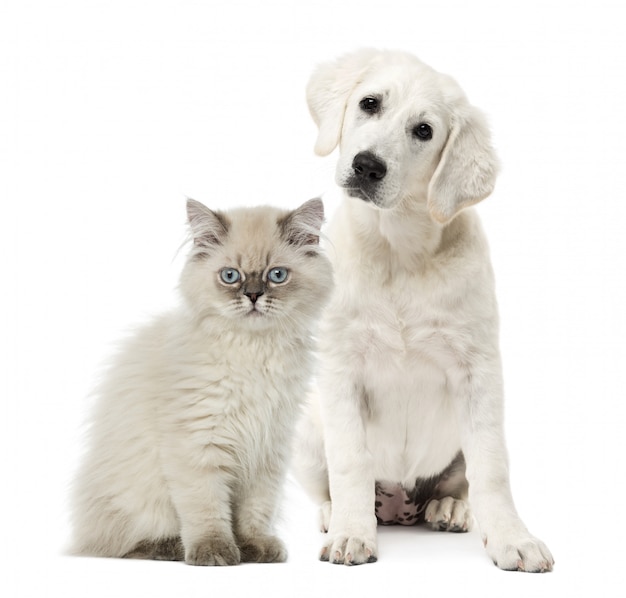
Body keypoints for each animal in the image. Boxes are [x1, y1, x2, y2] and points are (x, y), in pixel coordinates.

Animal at [71, 198, 332, 568]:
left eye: (277, 275)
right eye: (230, 276)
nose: (253, 295)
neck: (254, 351)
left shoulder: (268, 447)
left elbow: (256, 511)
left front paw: (255, 547)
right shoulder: (198, 445)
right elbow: (206, 509)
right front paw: (215, 552)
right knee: (123, 544)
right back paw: (171, 548)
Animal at [292, 49, 552, 576]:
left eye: (424, 131)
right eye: (370, 103)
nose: (367, 166)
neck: (400, 250)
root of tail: (397, 506)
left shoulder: (478, 370)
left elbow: (492, 467)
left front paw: (513, 539)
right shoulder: (340, 368)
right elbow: (350, 461)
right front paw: (352, 533)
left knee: (461, 482)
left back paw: (450, 509)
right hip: (309, 432)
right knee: (331, 482)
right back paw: (336, 515)